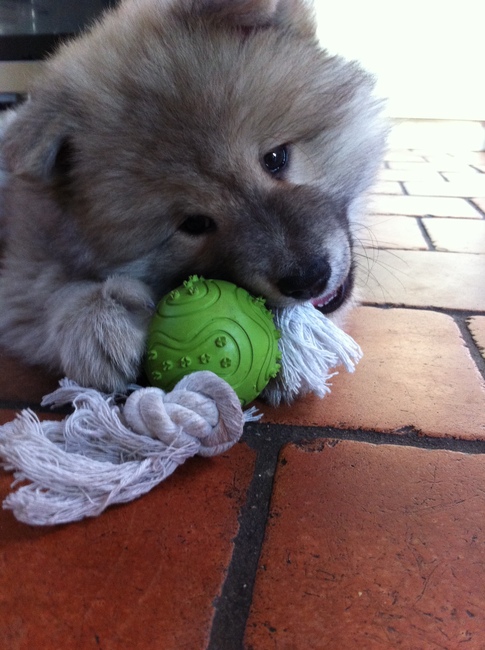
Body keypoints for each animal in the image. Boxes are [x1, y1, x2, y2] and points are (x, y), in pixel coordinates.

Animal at [0, 0, 386, 395]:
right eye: (195, 223)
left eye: (276, 158)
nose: (307, 279)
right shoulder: (24, 267)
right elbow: (49, 291)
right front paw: (98, 325)